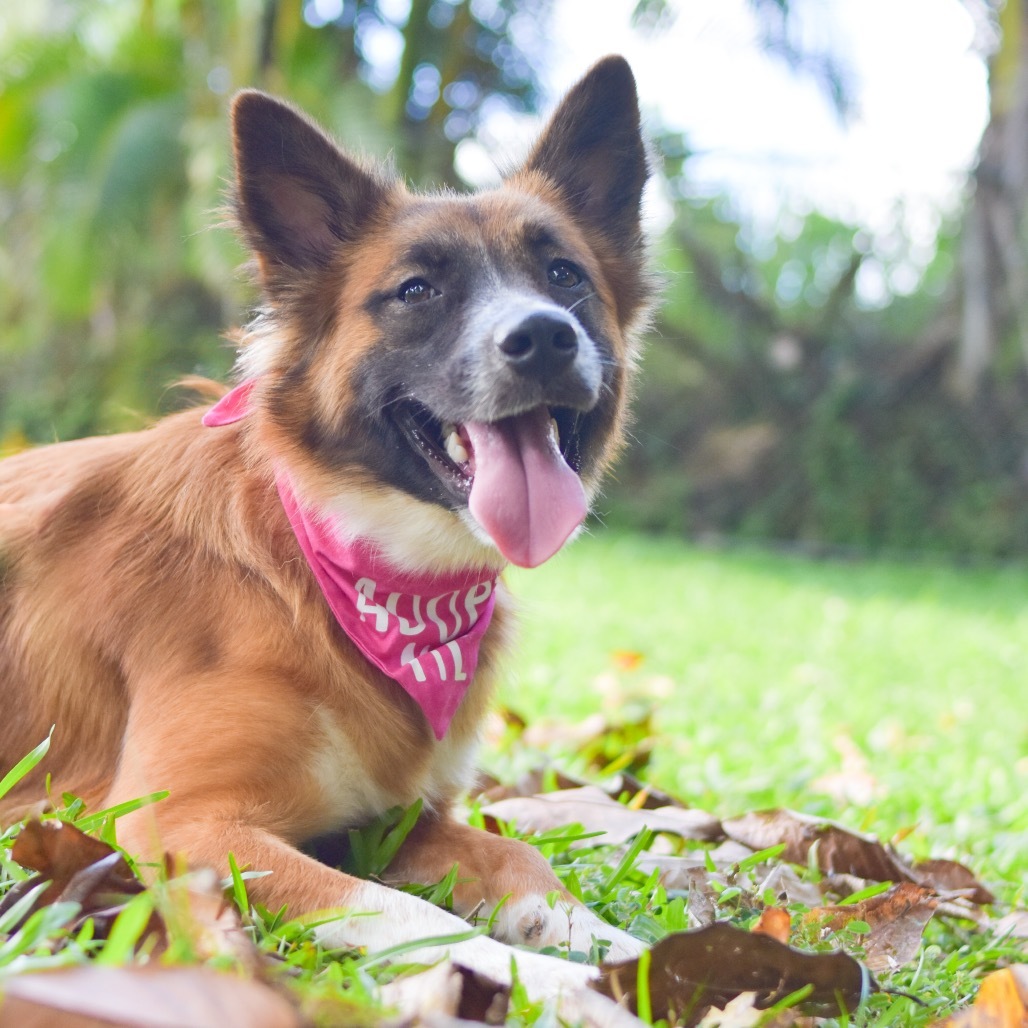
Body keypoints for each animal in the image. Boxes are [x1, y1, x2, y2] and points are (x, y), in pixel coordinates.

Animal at [2, 56, 649, 995]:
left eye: (565, 276)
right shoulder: (175, 823)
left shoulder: (396, 819)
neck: (338, 564)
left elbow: (521, 859)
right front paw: (548, 980)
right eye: (416, 290)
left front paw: (615, 947)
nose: (544, 337)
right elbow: (413, 916)